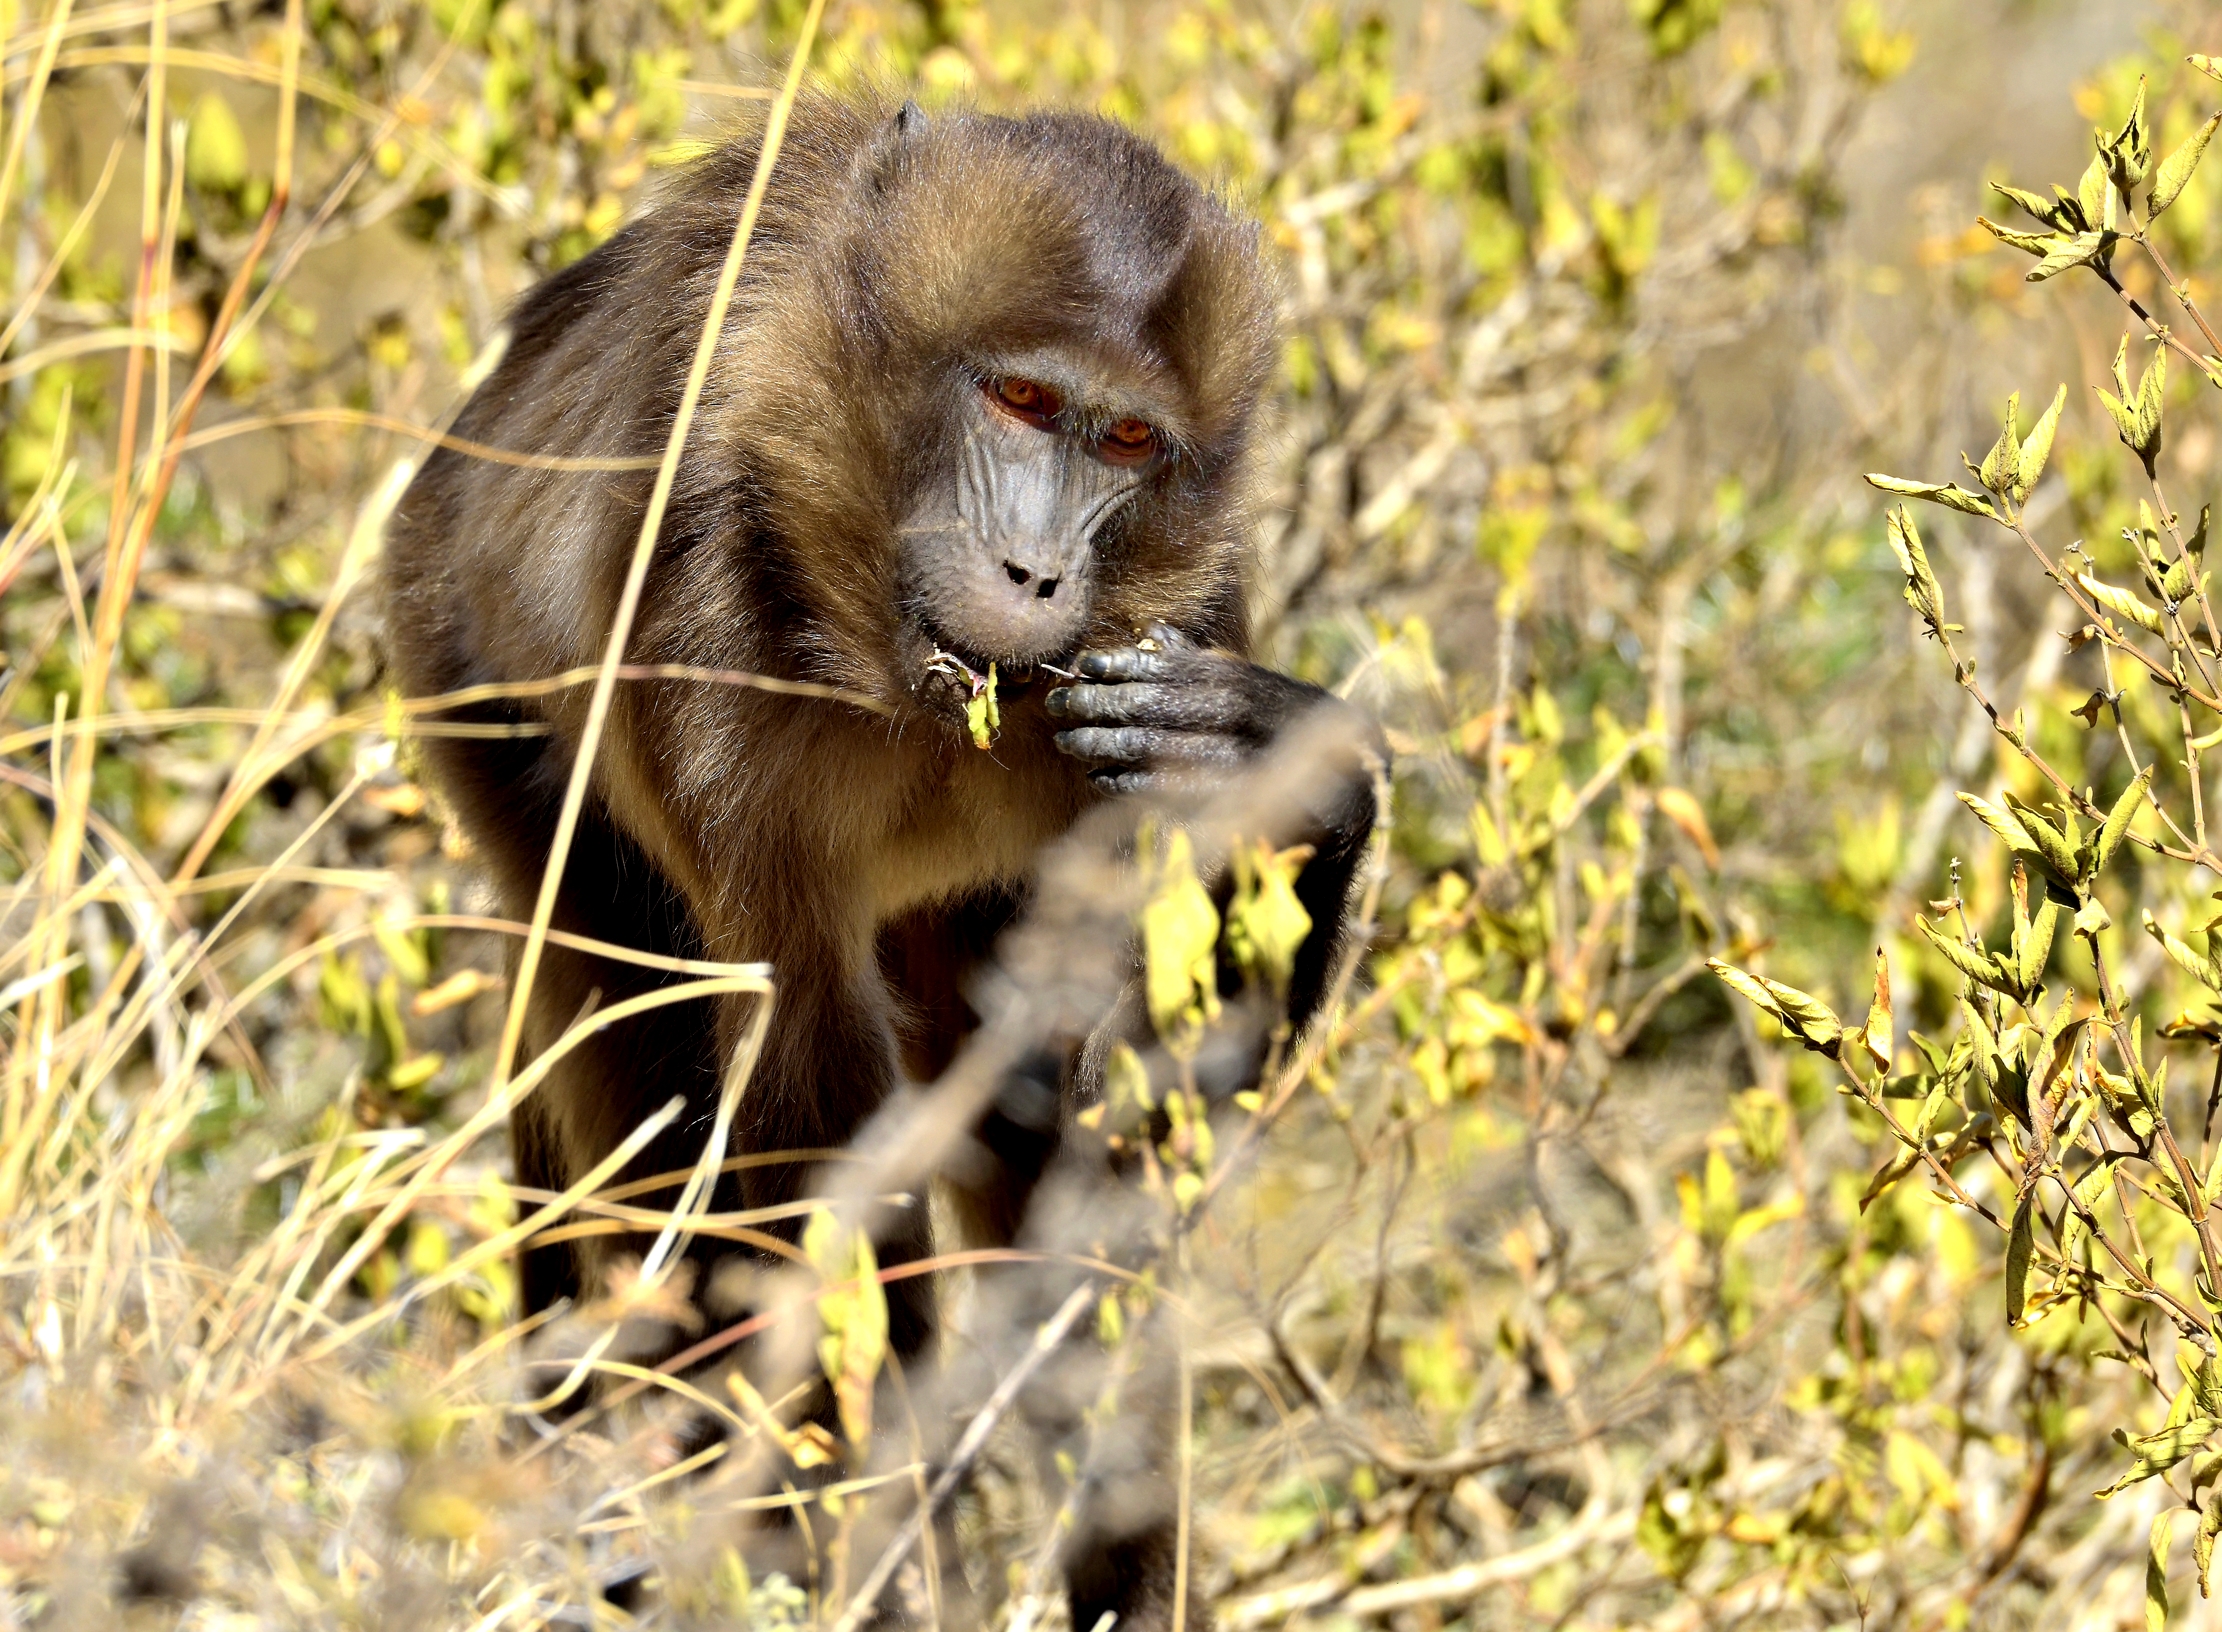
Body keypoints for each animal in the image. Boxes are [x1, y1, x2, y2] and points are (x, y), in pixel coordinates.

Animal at [381, 94, 1377, 1630]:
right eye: (1019, 402)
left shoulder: (1186, 612)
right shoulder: (693, 596)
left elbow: (1125, 1112)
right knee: (649, 1040)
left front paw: (1280, 779)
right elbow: (807, 1115)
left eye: (1125, 442)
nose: (1034, 574)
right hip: (457, 667)